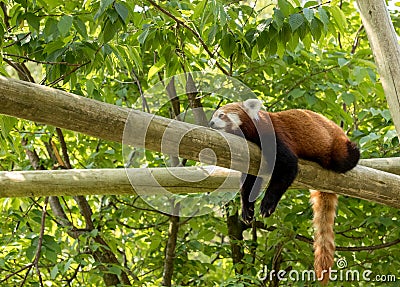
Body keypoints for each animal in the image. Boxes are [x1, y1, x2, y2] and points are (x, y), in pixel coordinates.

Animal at [209, 99, 360, 286]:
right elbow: (250, 182)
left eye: (222, 115)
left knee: (346, 157)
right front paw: (247, 208)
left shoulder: (275, 137)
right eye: (214, 115)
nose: (211, 123)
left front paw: (267, 204)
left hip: (337, 146)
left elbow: (288, 167)